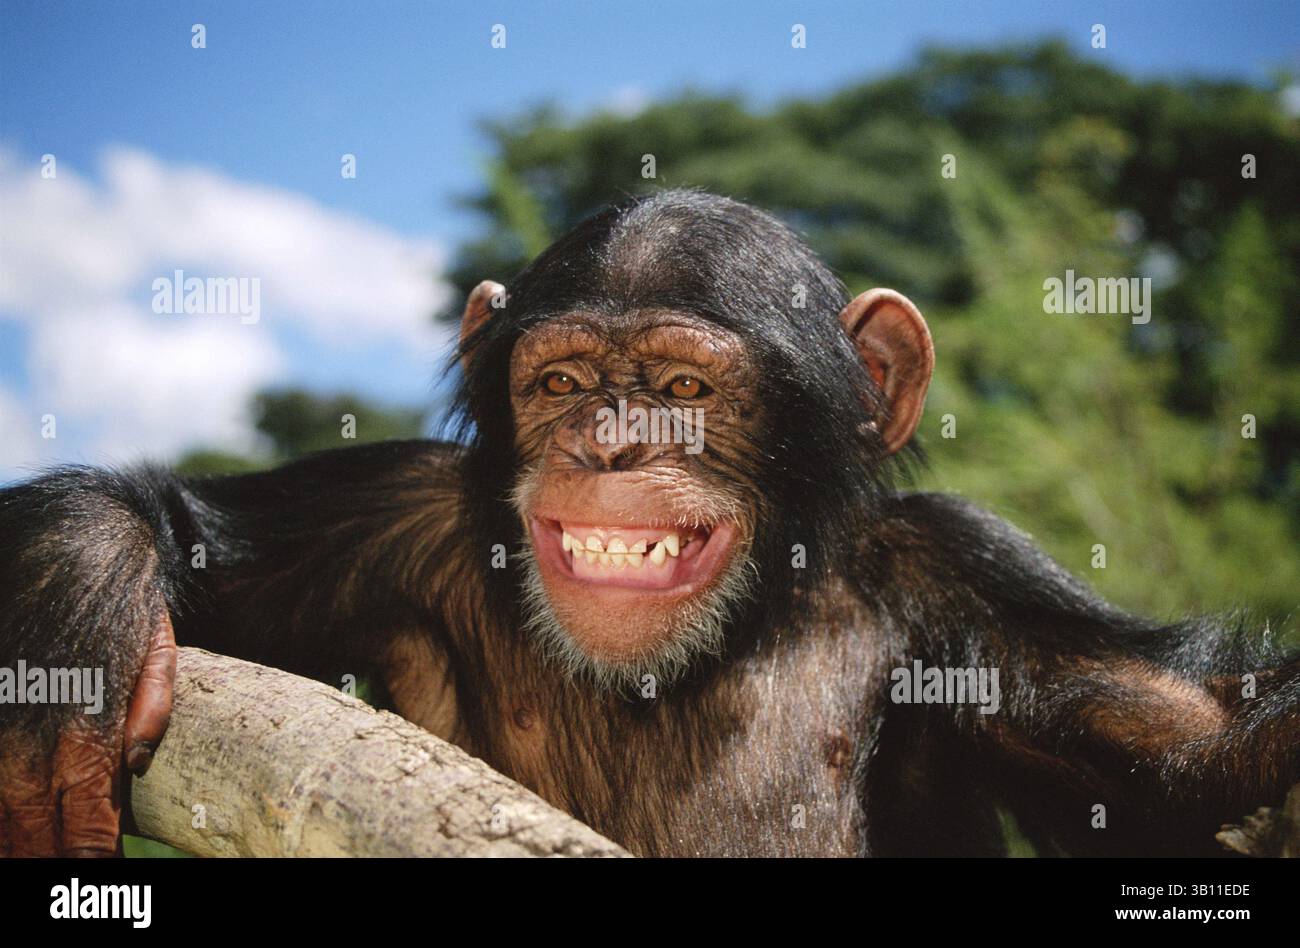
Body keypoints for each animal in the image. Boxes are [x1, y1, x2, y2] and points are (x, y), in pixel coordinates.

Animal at [0, 189, 1296, 857]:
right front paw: (69, 619)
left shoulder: (962, 573)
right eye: (563, 383)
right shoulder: (401, 516)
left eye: (682, 388)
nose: (612, 442)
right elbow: (213, 538)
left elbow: (1184, 731)